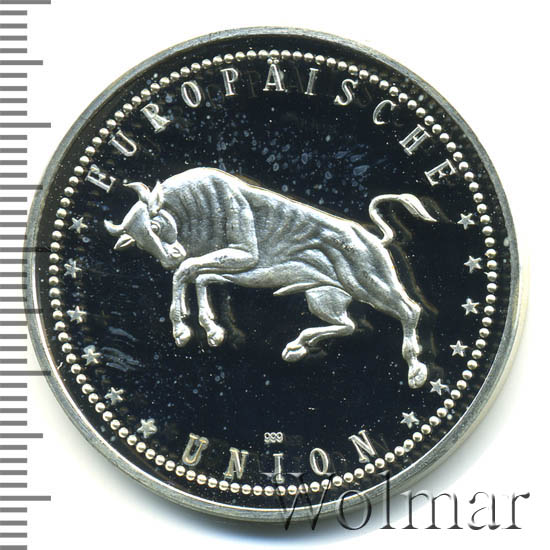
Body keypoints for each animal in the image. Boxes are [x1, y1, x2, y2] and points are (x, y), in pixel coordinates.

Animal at [104, 167, 436, 389]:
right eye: (140, 242)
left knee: (410, 310)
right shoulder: (231, 270)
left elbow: (186, 272)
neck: (193, 206)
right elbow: (198, 278)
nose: (167, 258)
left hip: (371, 282)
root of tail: (374, 238)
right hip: (322, 296)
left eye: (156, 226)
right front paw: (209, 330)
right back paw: (296, 346)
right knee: (347, 324)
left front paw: (184, 330)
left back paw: (416, 371)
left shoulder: (243, 255)